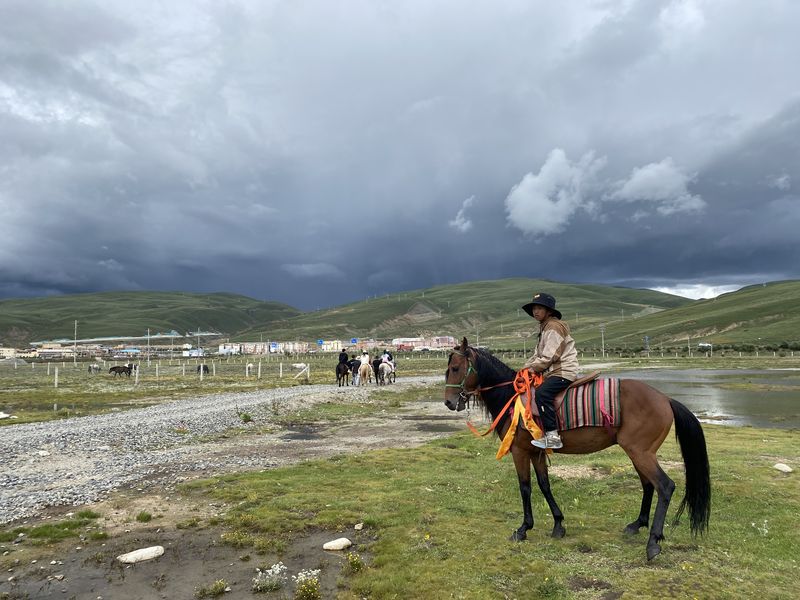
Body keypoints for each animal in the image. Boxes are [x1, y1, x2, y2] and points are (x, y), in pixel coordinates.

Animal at [444, 338, 712, 564]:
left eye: (456, 368)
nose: (448, 402)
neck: (511, 396)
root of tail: (665, 399)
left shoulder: (520, 451)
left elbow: (525, 488)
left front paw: (523, 529)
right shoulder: (536, 452)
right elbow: (544, 485)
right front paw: (558, 524)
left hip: (641, 453)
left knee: (664, 486)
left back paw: (653, 542)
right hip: (638, 453)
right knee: (648, 485)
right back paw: (637, 525)